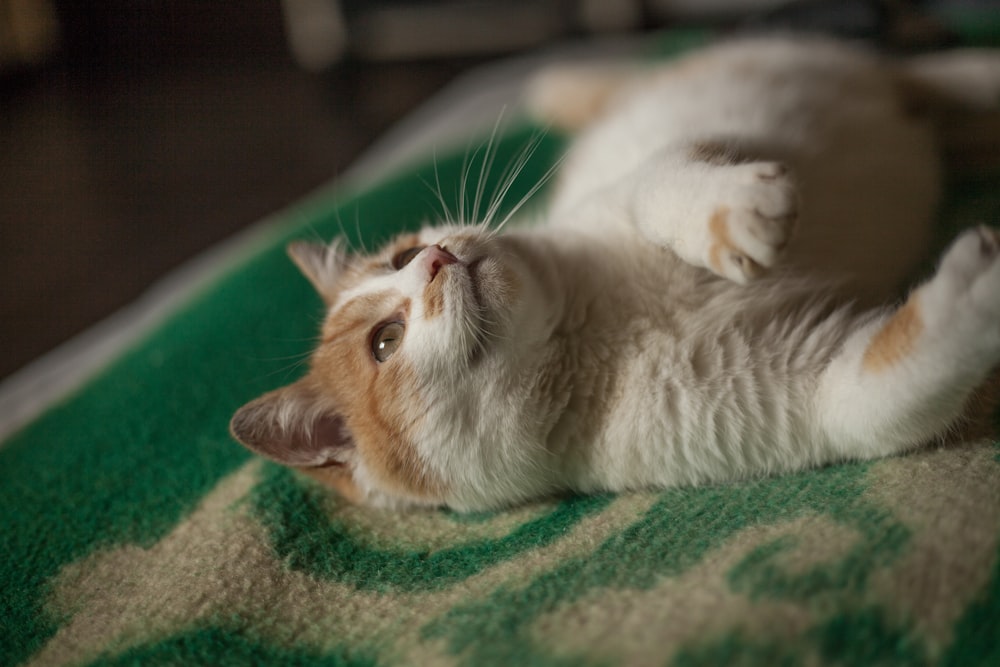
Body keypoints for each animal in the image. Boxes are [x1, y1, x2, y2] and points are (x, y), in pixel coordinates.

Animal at [229, 36, 1000, 512]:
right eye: (384, 342)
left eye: (398, 256)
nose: (435, 257)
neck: (593, 334)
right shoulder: (810, 393)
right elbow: (886, 390)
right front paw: (974, 292)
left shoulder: (660, 164)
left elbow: (658, 186)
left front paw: (730, 213)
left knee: (922, 72)